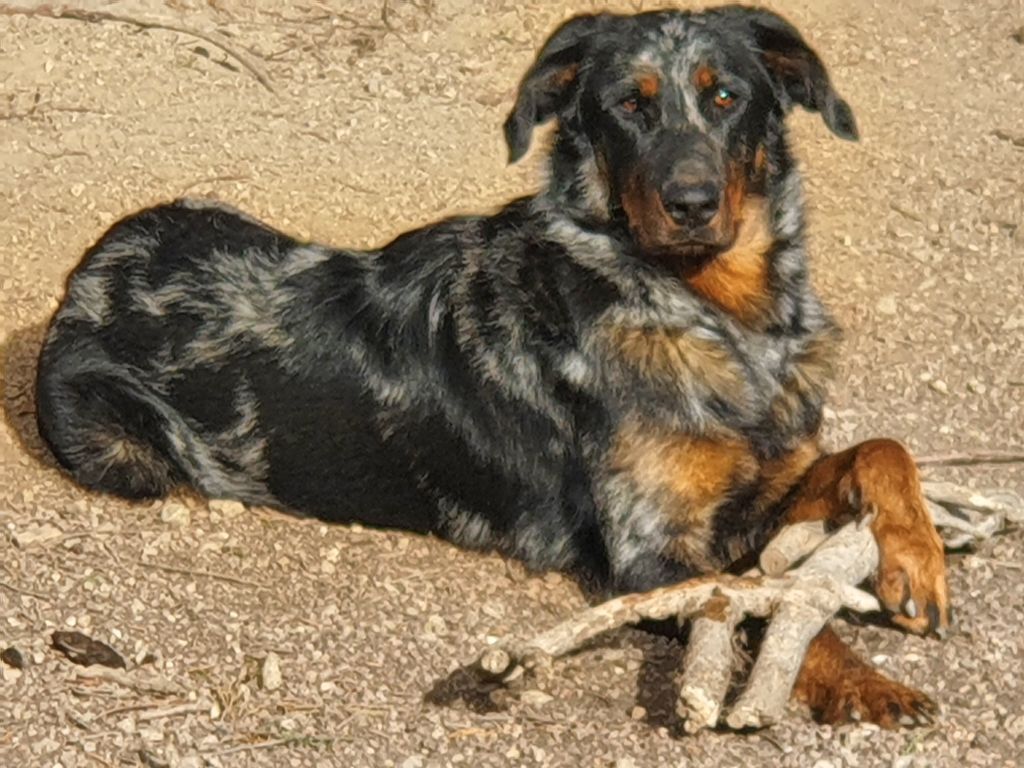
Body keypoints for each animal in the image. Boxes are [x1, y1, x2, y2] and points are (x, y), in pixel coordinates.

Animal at [37, 4, 950, 729]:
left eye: (727, 96)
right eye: (628, 107)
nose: (689, 203)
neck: (721, 314)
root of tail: (91, 265)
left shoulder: (768, 476)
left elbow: (881, 451)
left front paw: (916, 562)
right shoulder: (650, 554)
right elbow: (764, 602)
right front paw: (865, 682)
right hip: (117, 446)